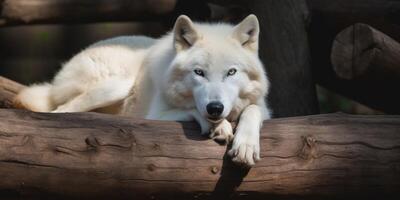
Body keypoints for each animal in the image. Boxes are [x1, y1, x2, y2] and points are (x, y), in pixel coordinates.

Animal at [15, 14, 272, 167]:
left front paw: (246, 146)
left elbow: (252, 111)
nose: (215, 108)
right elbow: (191, 110)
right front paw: (218, 125)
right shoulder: (155, 114)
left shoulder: (263, 109)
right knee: (60, 111)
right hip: (117, 86)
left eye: (231, 72)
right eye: (199, 72)